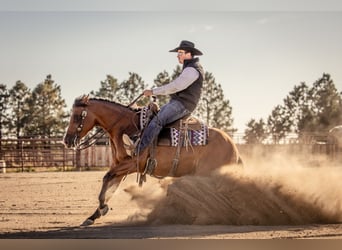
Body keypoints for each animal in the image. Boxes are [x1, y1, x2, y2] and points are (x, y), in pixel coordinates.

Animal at [62, 94, 242, 227]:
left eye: (77, 116)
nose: (67, 140)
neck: (124, 127)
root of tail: (232, 145)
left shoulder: (131, 164)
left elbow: (107, 179)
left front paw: (101, 209)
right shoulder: (119, 166)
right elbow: (109, 186)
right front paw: (94, 215)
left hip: (208, 174)